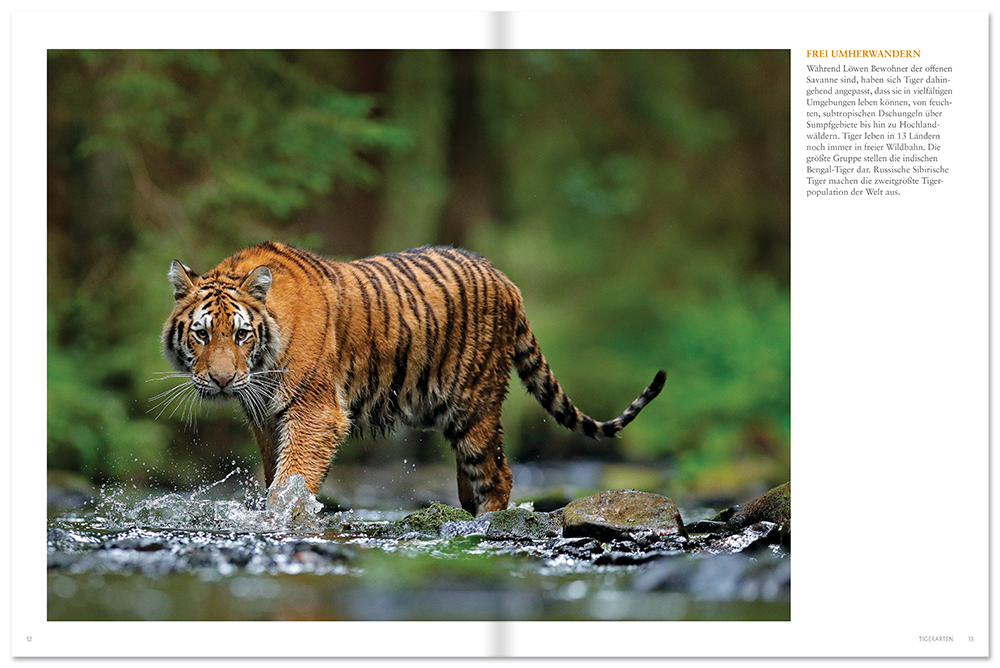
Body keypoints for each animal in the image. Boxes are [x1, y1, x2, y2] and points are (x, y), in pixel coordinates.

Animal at [161, 241, 666, 516]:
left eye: (241, 334)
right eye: (202, 334)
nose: (222, 381)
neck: (262, 364)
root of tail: (506, 280)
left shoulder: (315, 413)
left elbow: (292, 481)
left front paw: (284, 518)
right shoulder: (266, 419)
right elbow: (275, 476)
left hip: (475, 405)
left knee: (497, 474)